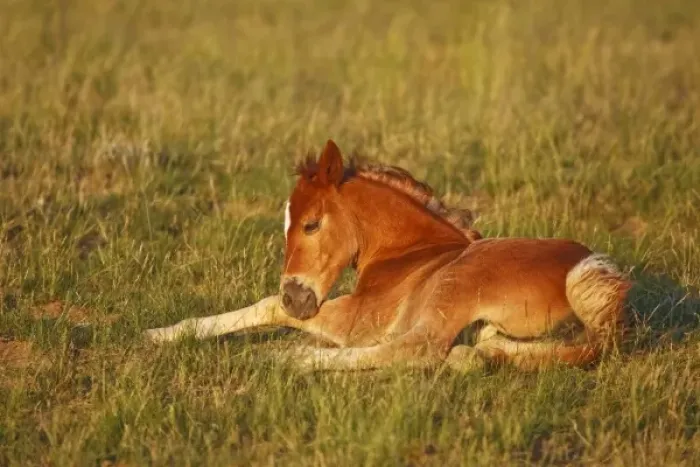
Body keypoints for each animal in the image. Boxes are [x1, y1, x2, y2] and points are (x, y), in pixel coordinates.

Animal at [145, 139, 632, 372]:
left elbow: (266, 307)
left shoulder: (358, 320)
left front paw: (163, 333)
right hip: (518, 340)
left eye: (311, 224)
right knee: (481, 353)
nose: (296, 299)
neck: (407, 253)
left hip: (451, 291)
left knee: (416, 351)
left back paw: (290, 359)